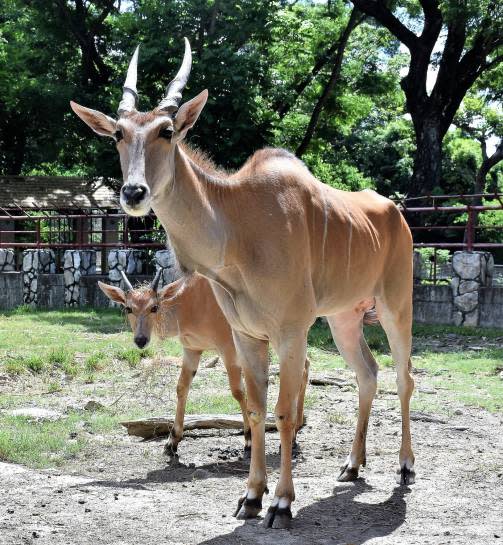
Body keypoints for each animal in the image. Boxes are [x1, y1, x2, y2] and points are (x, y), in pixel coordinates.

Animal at [72, 37, 418, 528]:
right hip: (342, 319)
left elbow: (284, 413)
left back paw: (405, 466)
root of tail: (396, 213)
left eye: (167, 131)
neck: (238, 227)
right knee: (367, 374)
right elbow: (254, 409)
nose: (133, 193)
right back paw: (352, 465)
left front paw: (282, 503)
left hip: (395, 306)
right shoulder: (246, 335)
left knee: (403, 377)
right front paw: (252, 497)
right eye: (119, 134)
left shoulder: (290, 332)